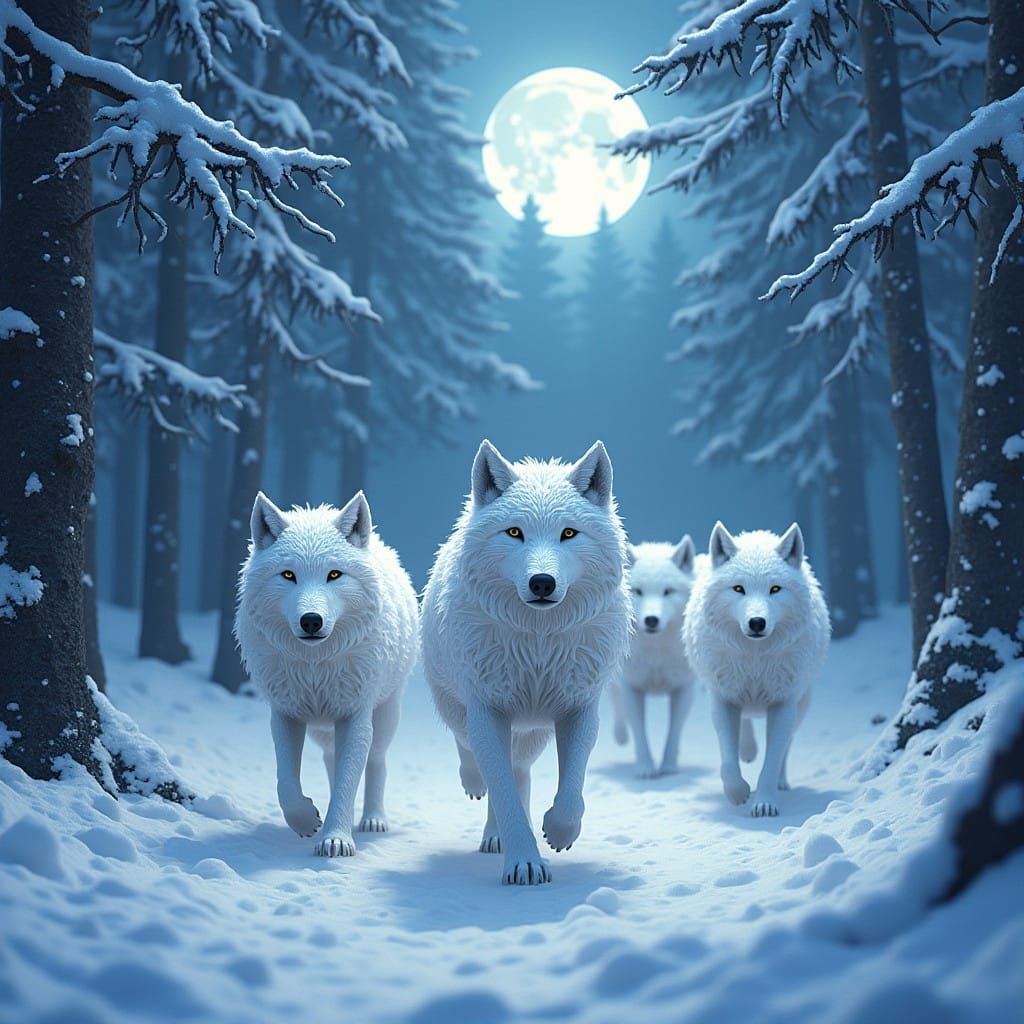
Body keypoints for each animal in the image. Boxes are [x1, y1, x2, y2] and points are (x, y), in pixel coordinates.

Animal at [235, 491, 419, 857]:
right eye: (288, 575)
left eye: (334, 575)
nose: (311, 621)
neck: (315, 667)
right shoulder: (286, 713)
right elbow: (286, 782)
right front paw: (305, 820)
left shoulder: (355, 715)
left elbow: (350, 780)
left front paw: (336, 839)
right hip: (325, 732)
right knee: (333, 762)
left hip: (384, 716)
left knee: (376, 762)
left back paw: (373, 819)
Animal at [421, 439, 631, 885]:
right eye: (514, 532)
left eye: (568, 533)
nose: (542, 582)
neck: (538, 642)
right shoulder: (487, 711)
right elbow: (502, 792)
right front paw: (524, 862)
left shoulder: (579, 707)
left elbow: (571, 786)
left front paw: (558, 830)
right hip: (457, 705)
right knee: (472, 751)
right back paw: (476, 787)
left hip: (534, 733)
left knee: (521, 771)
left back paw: (497, 833)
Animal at [684, 521, 830, 817]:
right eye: (739, 589)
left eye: (775, 589)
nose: (757, 622)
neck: (755, 658)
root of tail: (758, 535)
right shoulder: (722, 698)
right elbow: (728, 763)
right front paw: (738, 793)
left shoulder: (783, 703)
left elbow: (772, 761)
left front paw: (765, 802)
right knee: (746, 726)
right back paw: (748, 751)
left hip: (801, 705)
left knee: (786, 746)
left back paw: (780, 781)